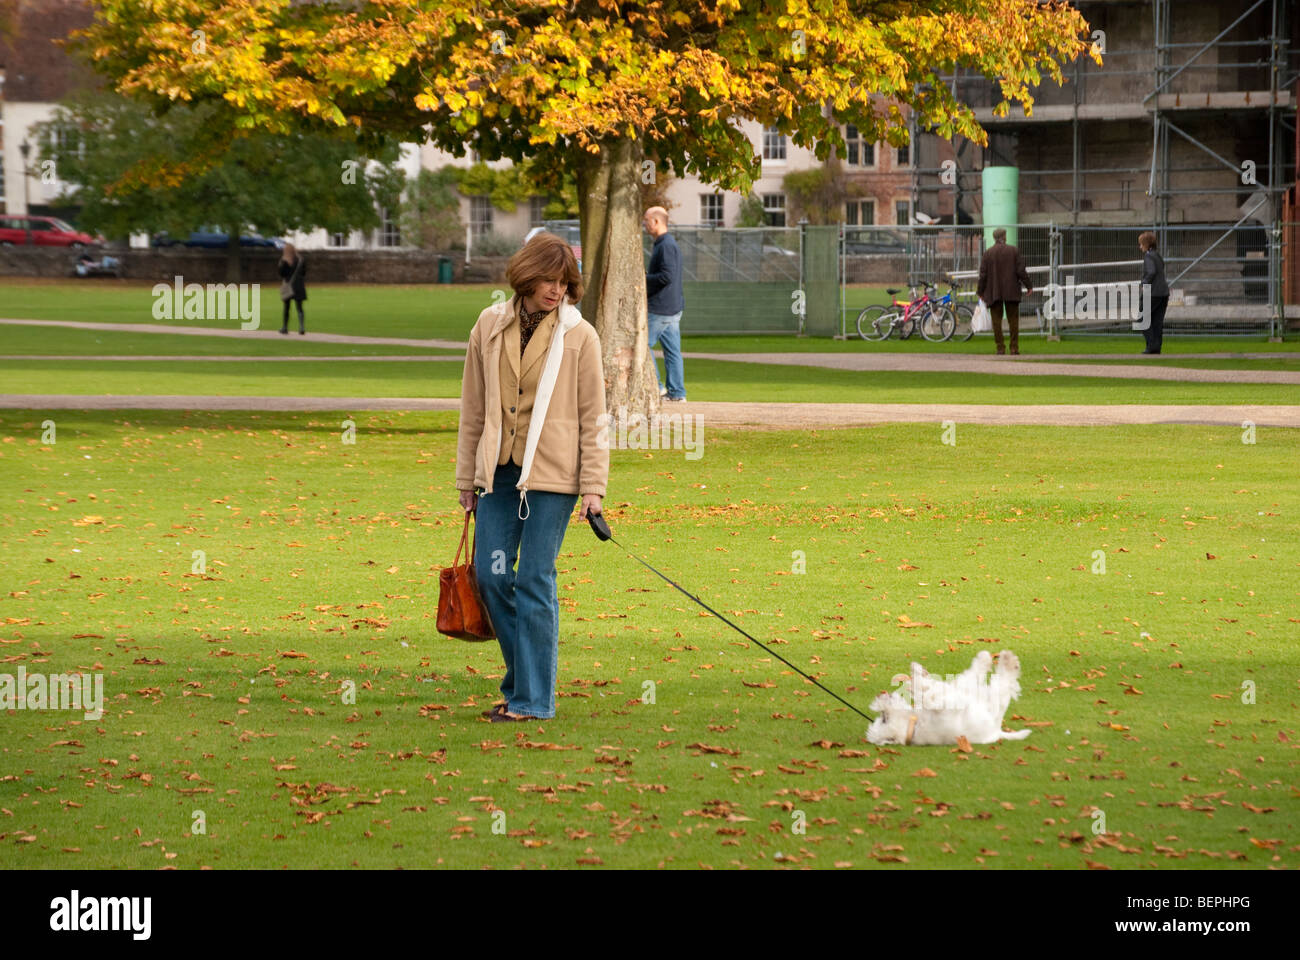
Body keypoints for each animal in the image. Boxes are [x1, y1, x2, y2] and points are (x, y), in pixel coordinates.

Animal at [868, 647, 1029, 744]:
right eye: (884, 719)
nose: (881, 696)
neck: (915, 725)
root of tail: (997, 731)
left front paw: (917, 674)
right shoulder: (948, 704)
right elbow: (930, 694)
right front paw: (916, 683)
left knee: (976, 676)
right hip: (990, 702)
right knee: (1003, 685)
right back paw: (1009, 661)